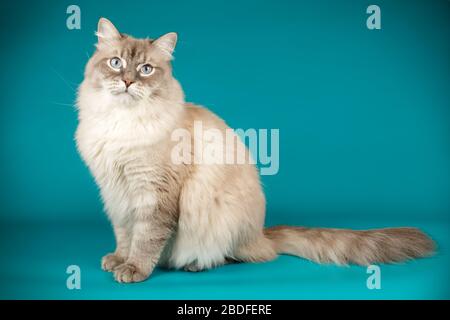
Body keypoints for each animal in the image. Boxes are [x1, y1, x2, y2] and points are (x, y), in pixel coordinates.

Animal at [75, 17, 434, 282]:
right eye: (116, 63)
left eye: (146, 69)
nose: (127, 82)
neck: (122, 124)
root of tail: (261, 233)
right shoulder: (116, 192)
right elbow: (125, 233)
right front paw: (119, 260)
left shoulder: (153, 194)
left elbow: (146, 237)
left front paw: (134, 269)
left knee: (241, 256)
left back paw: (195, 264)